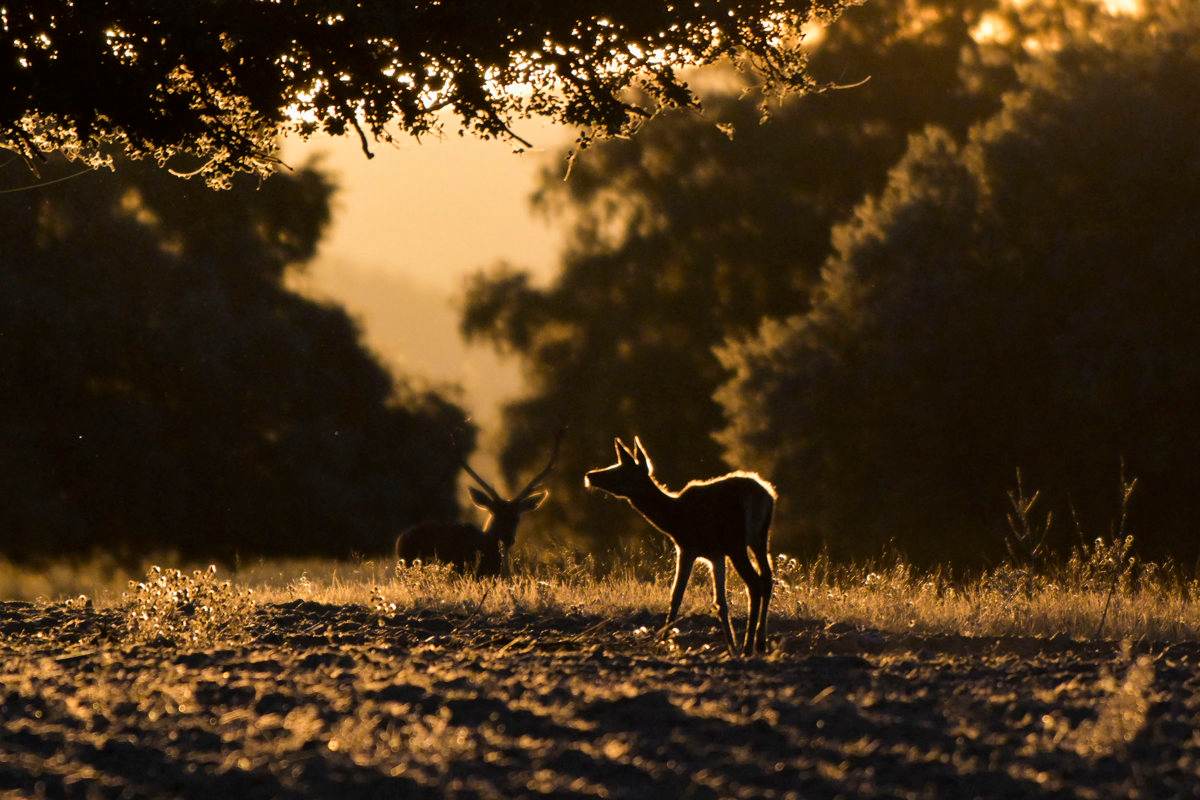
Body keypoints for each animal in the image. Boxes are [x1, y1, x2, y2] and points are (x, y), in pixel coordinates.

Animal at [583, 438, 777, 657]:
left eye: (620, 470)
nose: (590, 475)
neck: (673, 520)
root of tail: (765, 497)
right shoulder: (716, 555)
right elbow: (721, 603)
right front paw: (730, 646)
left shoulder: (687, 548)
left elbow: (676, 595)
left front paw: (660, 641)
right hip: (760, 538)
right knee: (767, 579)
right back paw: (760, 643)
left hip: (736, 544)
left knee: (754, 583)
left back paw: (748, 646)